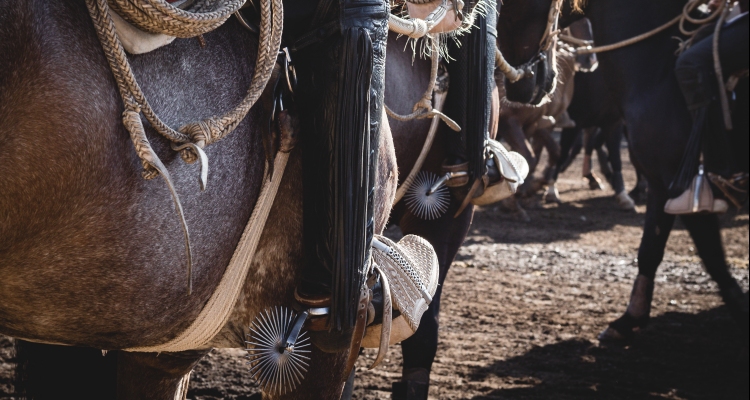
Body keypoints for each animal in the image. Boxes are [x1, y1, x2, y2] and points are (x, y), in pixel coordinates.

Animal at [560, 0, 748, 342]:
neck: (658, 70)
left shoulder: (689, 189)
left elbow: (713, 258)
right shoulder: (662, 185)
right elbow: (650, 248)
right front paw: (630, 318)